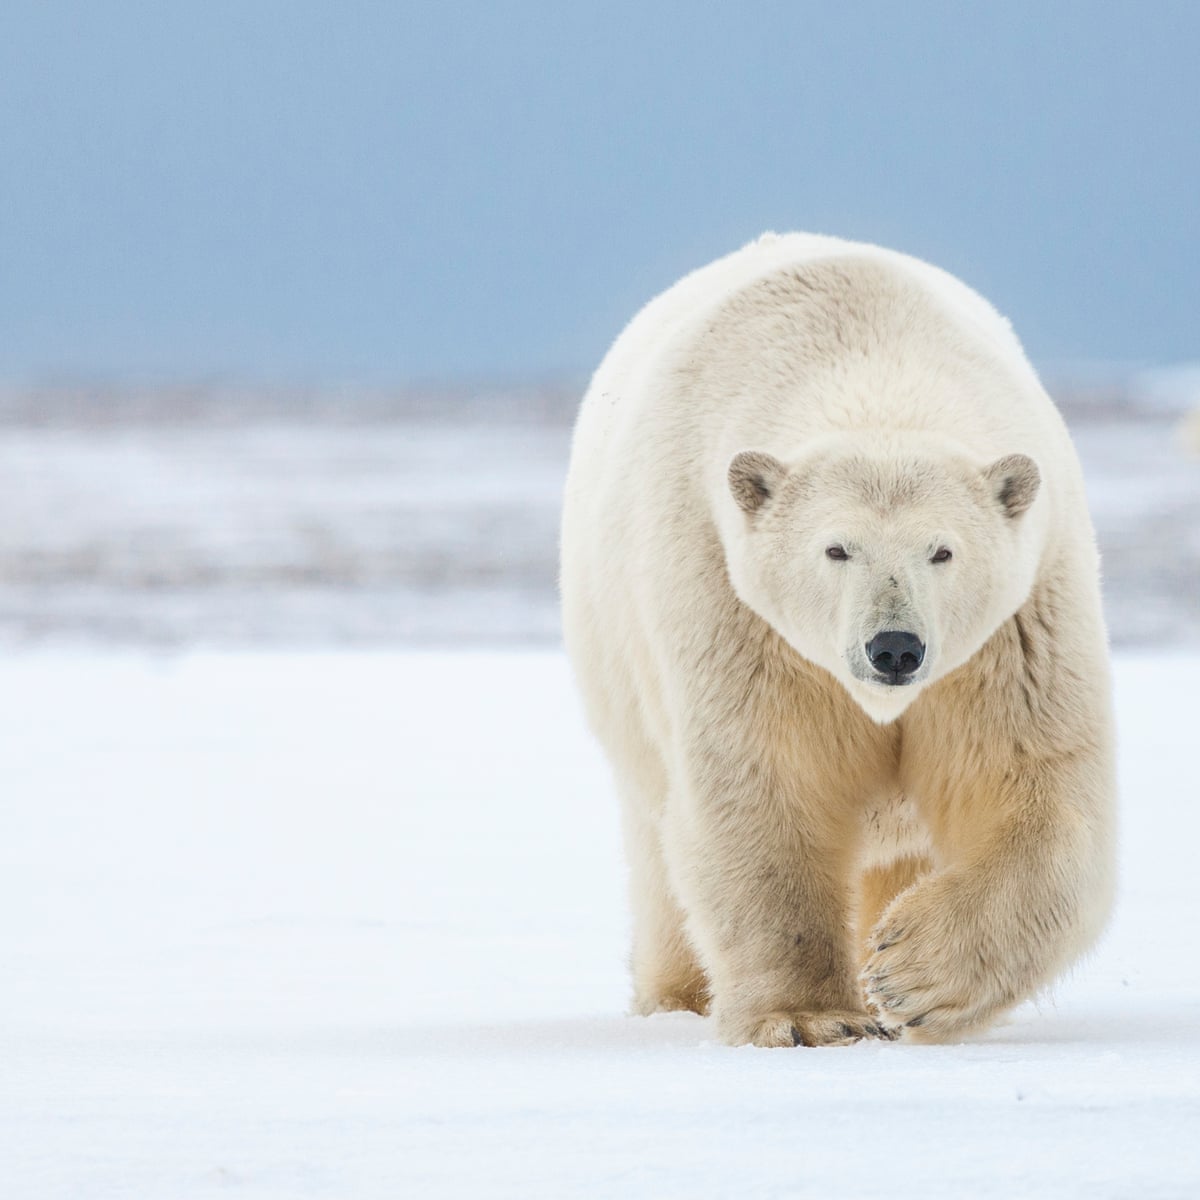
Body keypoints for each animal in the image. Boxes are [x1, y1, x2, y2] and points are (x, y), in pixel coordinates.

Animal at [560, 232, 1116, 1047]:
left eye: (942, 551)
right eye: (836, 548)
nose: (895, 648)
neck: (870, 357)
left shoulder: (1016, 629)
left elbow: (1032, 784)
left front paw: (908, 974)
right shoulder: (734, 606)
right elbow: (766, 782)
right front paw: (807, 1016)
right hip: (622, 679)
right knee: (660, 852)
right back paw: (676, 998)